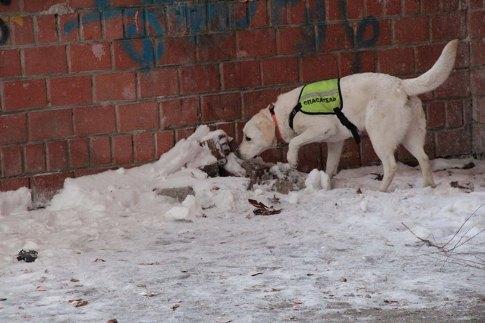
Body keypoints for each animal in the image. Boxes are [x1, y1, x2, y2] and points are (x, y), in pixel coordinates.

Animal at [238, 40, 458, 192]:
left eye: (248, 138)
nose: (238, 154)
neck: (284, 113)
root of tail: (400, 84)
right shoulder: (335, 143)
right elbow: (329, 169)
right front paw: (326, 187)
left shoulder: (320, 129)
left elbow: (295, 142)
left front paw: (292, 160)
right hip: (410, 136)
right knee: (424, 158)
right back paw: (429, 186)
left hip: (379, 136)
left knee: (391, 165)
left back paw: (380, 191)